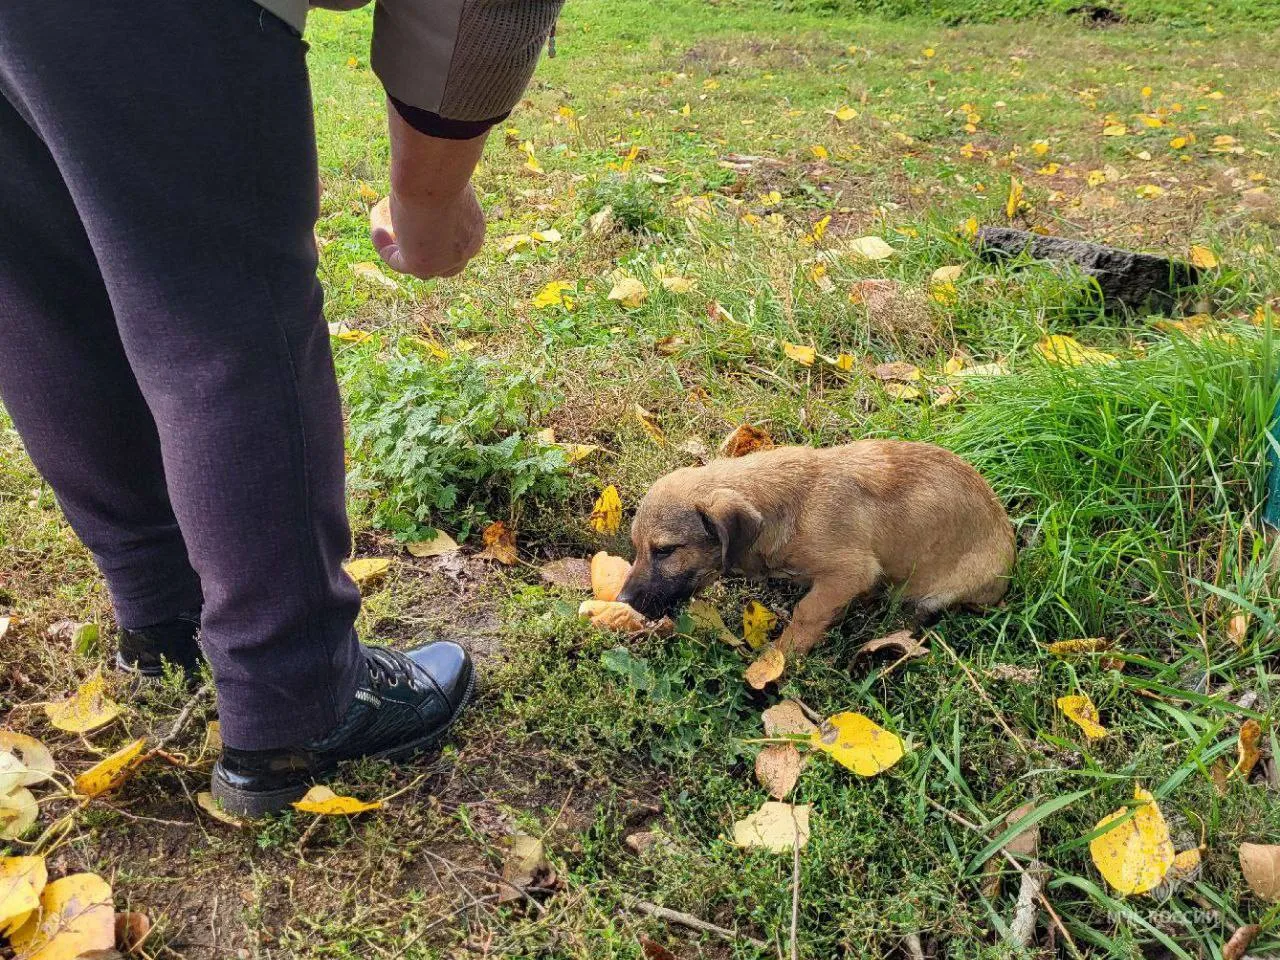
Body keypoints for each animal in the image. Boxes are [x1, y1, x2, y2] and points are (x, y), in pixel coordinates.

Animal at [614, 442, 1013, 655]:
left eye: (665, 550)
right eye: (636, 547)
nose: (622, 600)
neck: (792, 507)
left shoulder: (850, 571)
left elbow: (807, 612)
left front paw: (775, 662)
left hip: (939, 593)